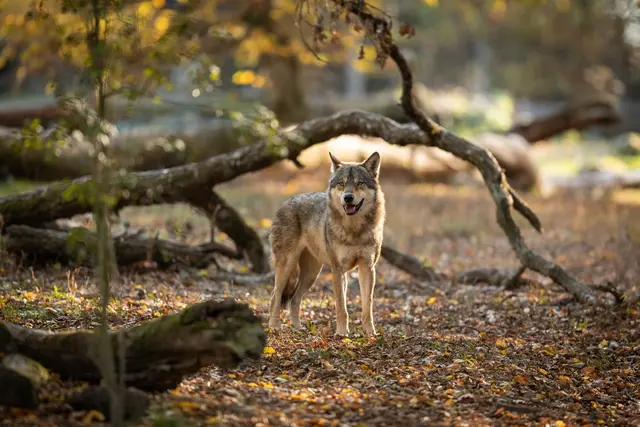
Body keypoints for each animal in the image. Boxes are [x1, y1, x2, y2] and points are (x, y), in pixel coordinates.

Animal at [268, 151, 385, 336]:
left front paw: (370, 334)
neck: (354, 231)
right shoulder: (338, 270)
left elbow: (368, 307)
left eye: (359, 183)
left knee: (294, 299)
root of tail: (286, 202)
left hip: (311, 274)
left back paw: (298, 328)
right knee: (275, 295)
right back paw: (274, 326)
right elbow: (341, 308)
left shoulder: (367, 268)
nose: (348, 198)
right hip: (287, 266)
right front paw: (342, 333)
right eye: (341, 184)